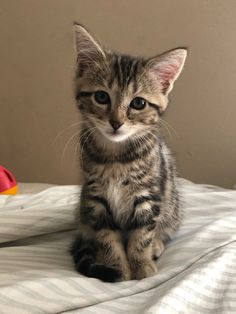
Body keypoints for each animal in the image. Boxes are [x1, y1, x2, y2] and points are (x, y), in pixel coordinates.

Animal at [71, 23, 187, 280]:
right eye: (101, 97)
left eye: (138, 103)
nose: (116, 122)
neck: (116, 157)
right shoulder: (96, 198)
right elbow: (106, 237)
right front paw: (116, 267)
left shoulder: (148, 196)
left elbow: (141, 236)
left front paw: (141, 265)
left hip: (172, 207)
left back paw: (157, 245)